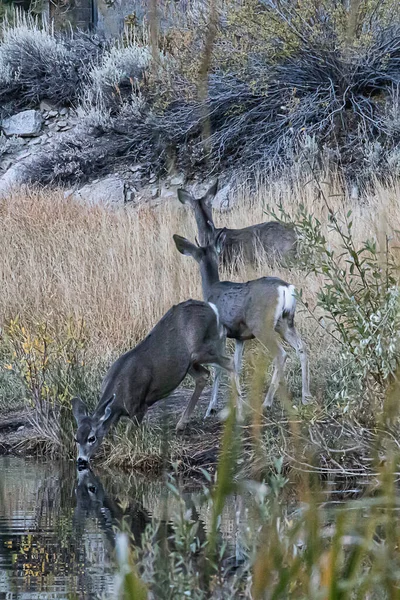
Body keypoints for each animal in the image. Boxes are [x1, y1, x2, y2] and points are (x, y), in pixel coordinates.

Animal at [72, 300, 236, 468]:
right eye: (76, 438)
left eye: (91, 438)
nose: (81, 460)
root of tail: (212, 308)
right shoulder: (116, 414)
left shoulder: (140, 407)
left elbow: (128, 436)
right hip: (188, 362)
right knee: (204, 375)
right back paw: (182, 423)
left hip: (203, 348)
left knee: (229, 362)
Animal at [173, 227, 310, 414]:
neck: (211, 290)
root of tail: (285, 288)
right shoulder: (239, 337)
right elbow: (236, 365)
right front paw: (238, 402)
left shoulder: (219, 331)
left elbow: (218, 368)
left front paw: (211, 407)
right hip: (286, 322)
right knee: (301, 348)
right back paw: (305, 396)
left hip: (261, 325)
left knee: (281, 354)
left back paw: (266, 402)